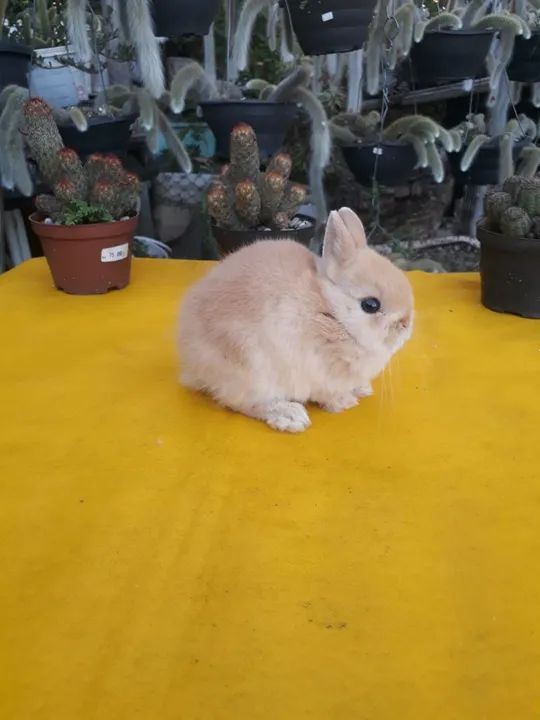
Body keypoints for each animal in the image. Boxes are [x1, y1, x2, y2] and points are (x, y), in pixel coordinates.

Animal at [178, 207, 414, 433]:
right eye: (371, 305)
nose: (406, 324)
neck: (333, 314)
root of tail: (191, 361)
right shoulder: (319, 373)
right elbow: (328, 393)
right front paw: (345, 402)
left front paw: (362, 389)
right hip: (249, 368)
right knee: (243, 403)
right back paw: (289, 416)